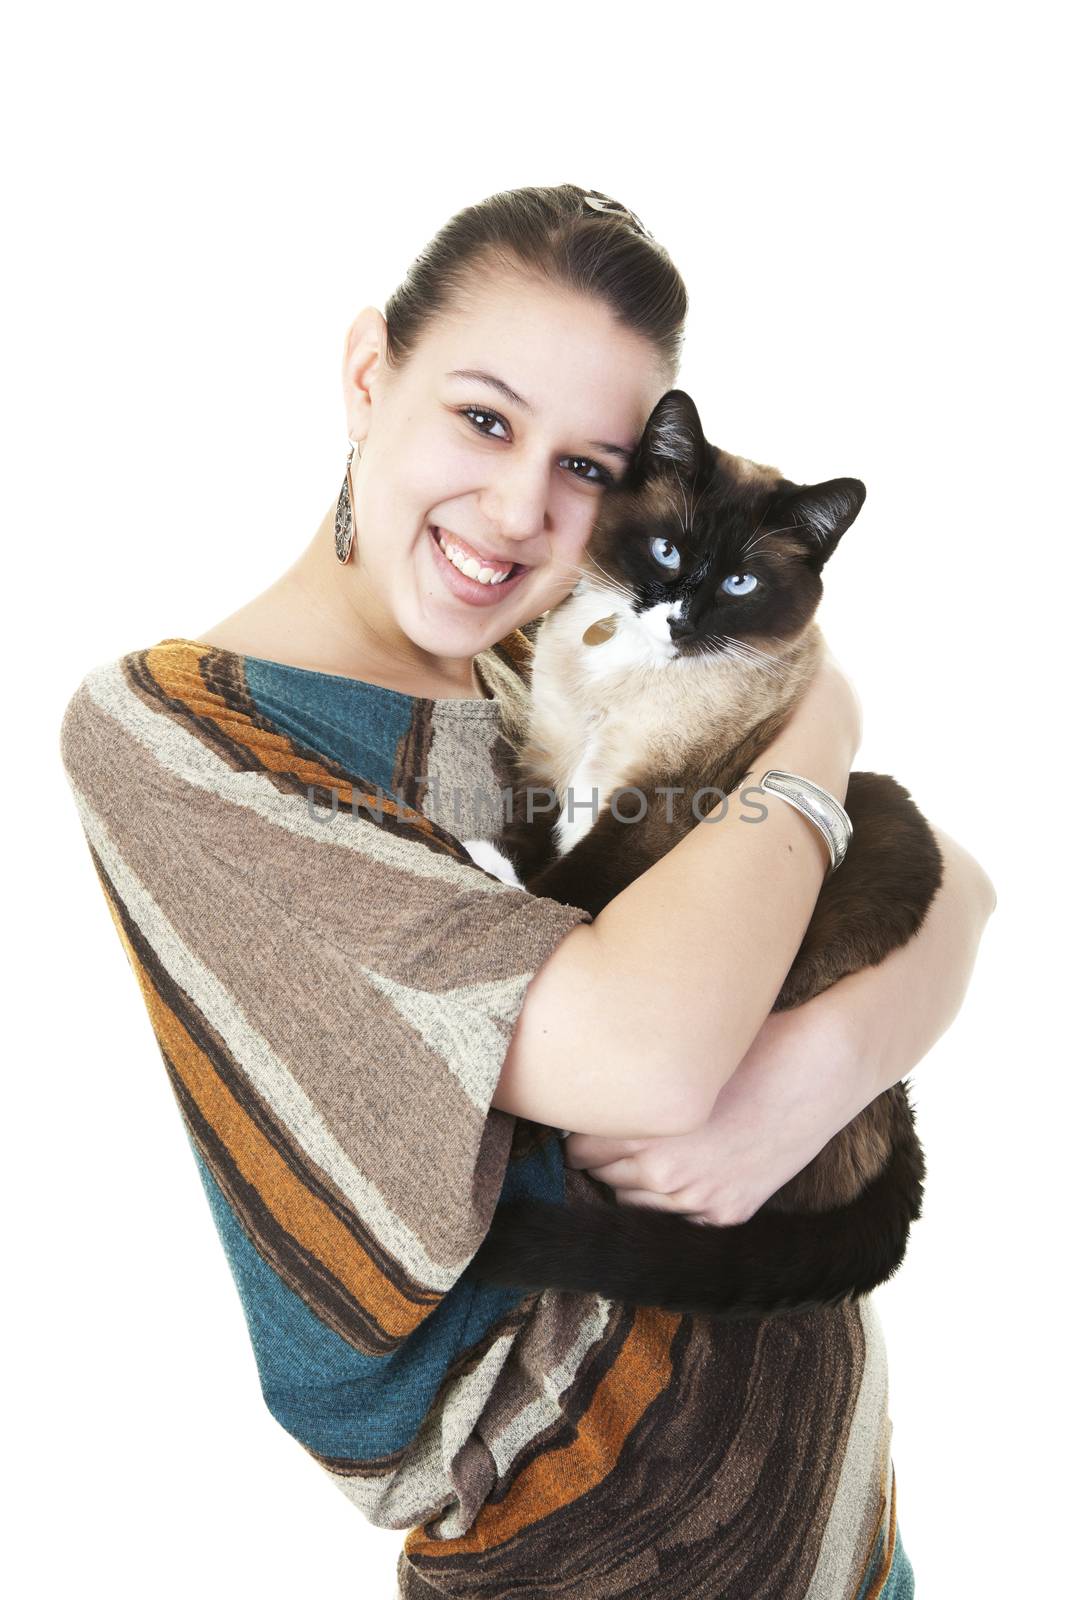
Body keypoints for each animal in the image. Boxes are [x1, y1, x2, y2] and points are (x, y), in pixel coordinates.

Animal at [463, 393, 940, 1318]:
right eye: (667, 551)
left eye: (739, 584)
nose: (679, 615)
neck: (621, 677)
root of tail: (897, 1121)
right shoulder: (545, 762)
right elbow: (536, 837)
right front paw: (499, 859)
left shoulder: (661, 804)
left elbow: (574, 883)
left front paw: (502, 877)